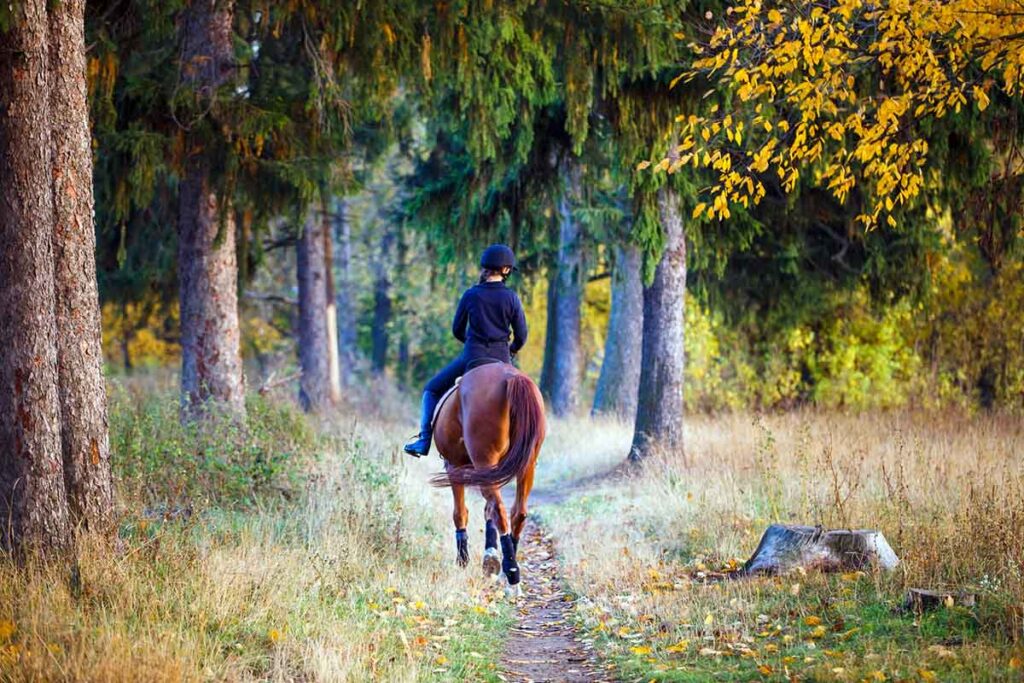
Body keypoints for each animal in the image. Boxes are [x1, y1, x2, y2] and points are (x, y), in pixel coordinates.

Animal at [430, 360, 548, 593]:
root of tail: (511, 377)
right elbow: (486, 512)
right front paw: (490, 558)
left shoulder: (453, 466)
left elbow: (460, 513)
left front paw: (463, 560)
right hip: (526, 464)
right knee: (517, 512)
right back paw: (506, 570)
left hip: (482, 459)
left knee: (499, 510)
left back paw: (512, 573)